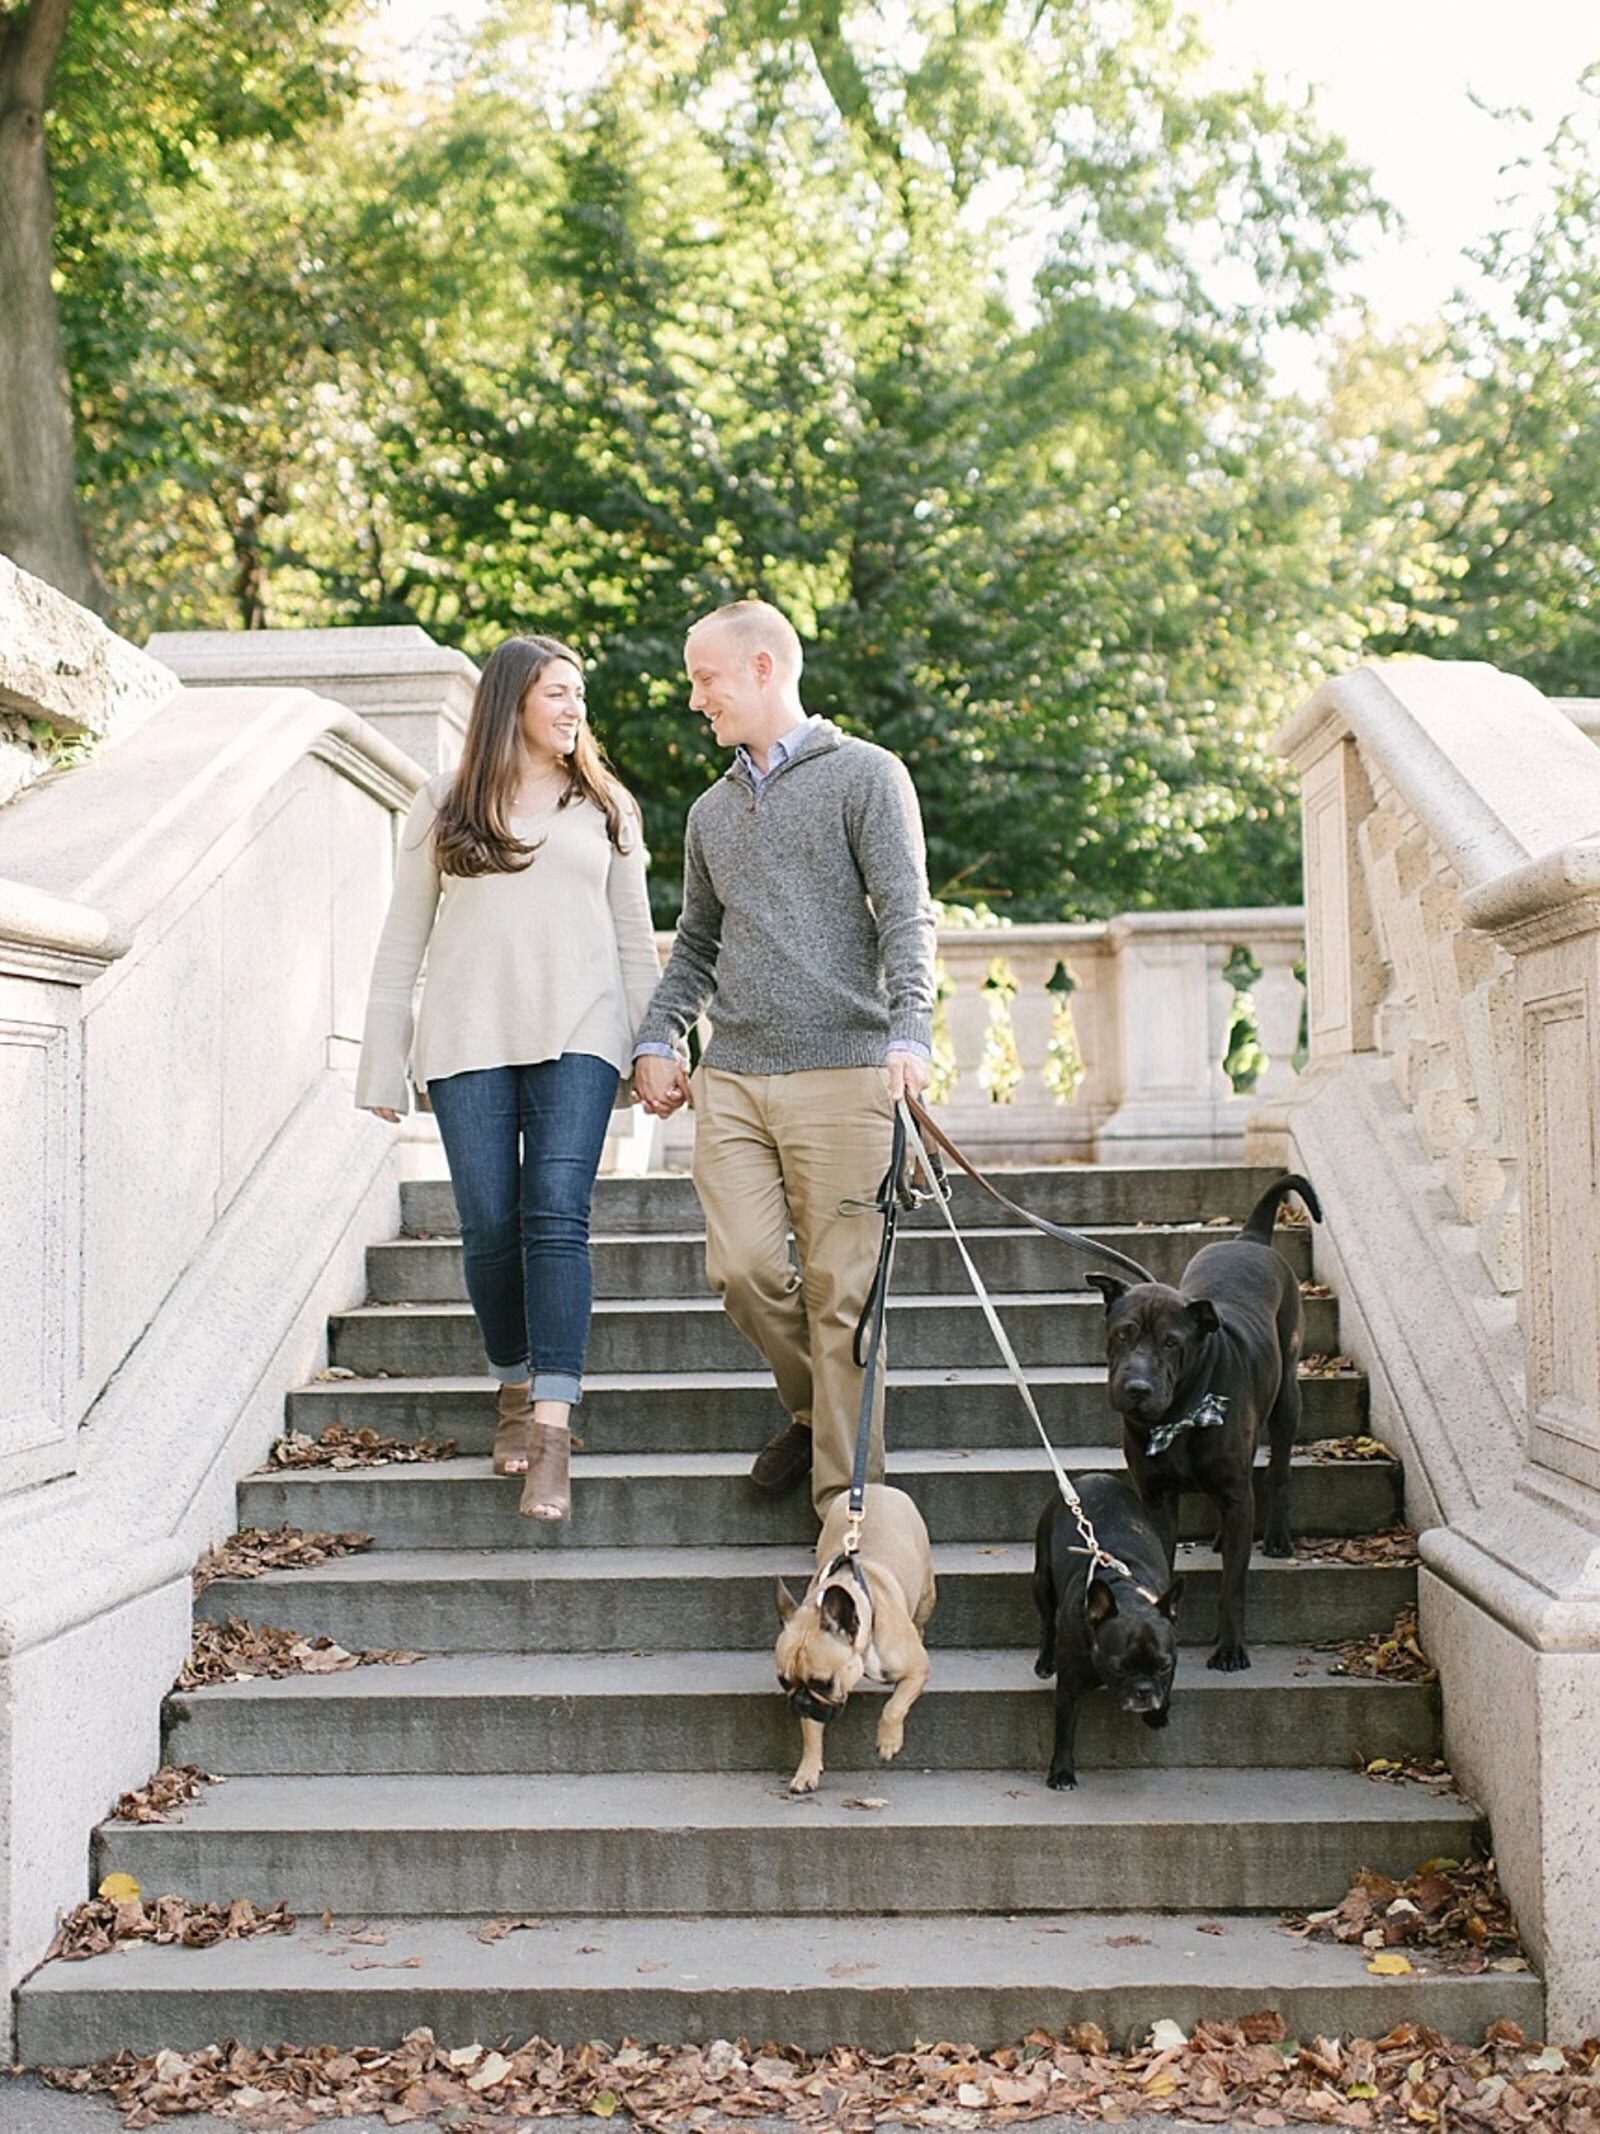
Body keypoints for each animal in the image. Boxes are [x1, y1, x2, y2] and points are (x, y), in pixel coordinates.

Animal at [1032, 1476, 1186, 1792]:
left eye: (1164, 1666)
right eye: (1118, 1667)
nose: (1143, 1690)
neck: (1126, 1594)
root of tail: (1094, 1476)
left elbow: (1166, 1689)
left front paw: (1158, 1713)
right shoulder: (1069, 1688)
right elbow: (1065, 1731)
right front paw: (1062, 1773)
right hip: (1042, 1579)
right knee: (1047, 1622)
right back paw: (1044, 1661)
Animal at [1092, 1177, 1331, 1673]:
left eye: (1171, 1342)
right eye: (1122, 1332)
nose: (1137, 1388)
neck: (1178, 1412)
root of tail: (1250, 1238)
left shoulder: (1235, 1493)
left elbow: (1233, 1585)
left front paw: (1230, 1648)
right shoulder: (1157, 1497)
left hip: (1287, 1397)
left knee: (1277, 1470)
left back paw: (1276, 1537)